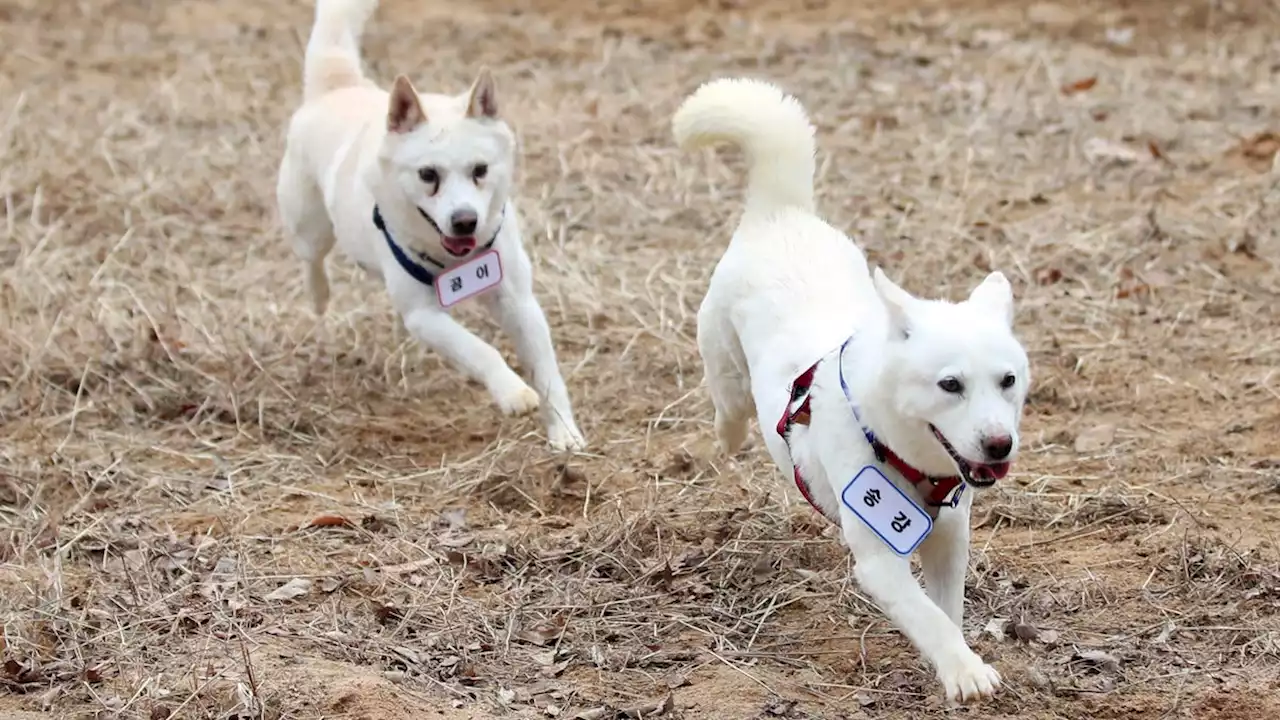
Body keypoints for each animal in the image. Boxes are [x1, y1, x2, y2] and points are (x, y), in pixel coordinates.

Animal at [277, 0, 586, 448]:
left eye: (480, 170)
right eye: (428, 175)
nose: (465, 221)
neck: (458, 259)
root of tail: (339, 85)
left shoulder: (518, 300)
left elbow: (547, 373)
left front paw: (563, 431)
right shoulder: (424, 316)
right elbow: (480, 350)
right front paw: (512, 393)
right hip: (309, 225)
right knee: (311, 259)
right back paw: (318, 295)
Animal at [675, 78, 1034, 702]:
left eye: (1007, 381)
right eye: (950, 384)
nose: (999, 445)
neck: (904, 453)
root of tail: (780, 212)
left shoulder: (950, 537)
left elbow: (945, 611)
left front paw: (954, 661)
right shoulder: (880, 559)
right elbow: (927, 617)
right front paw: (965, 672)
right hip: (724, 364)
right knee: (728, 405)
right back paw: (728, 436)